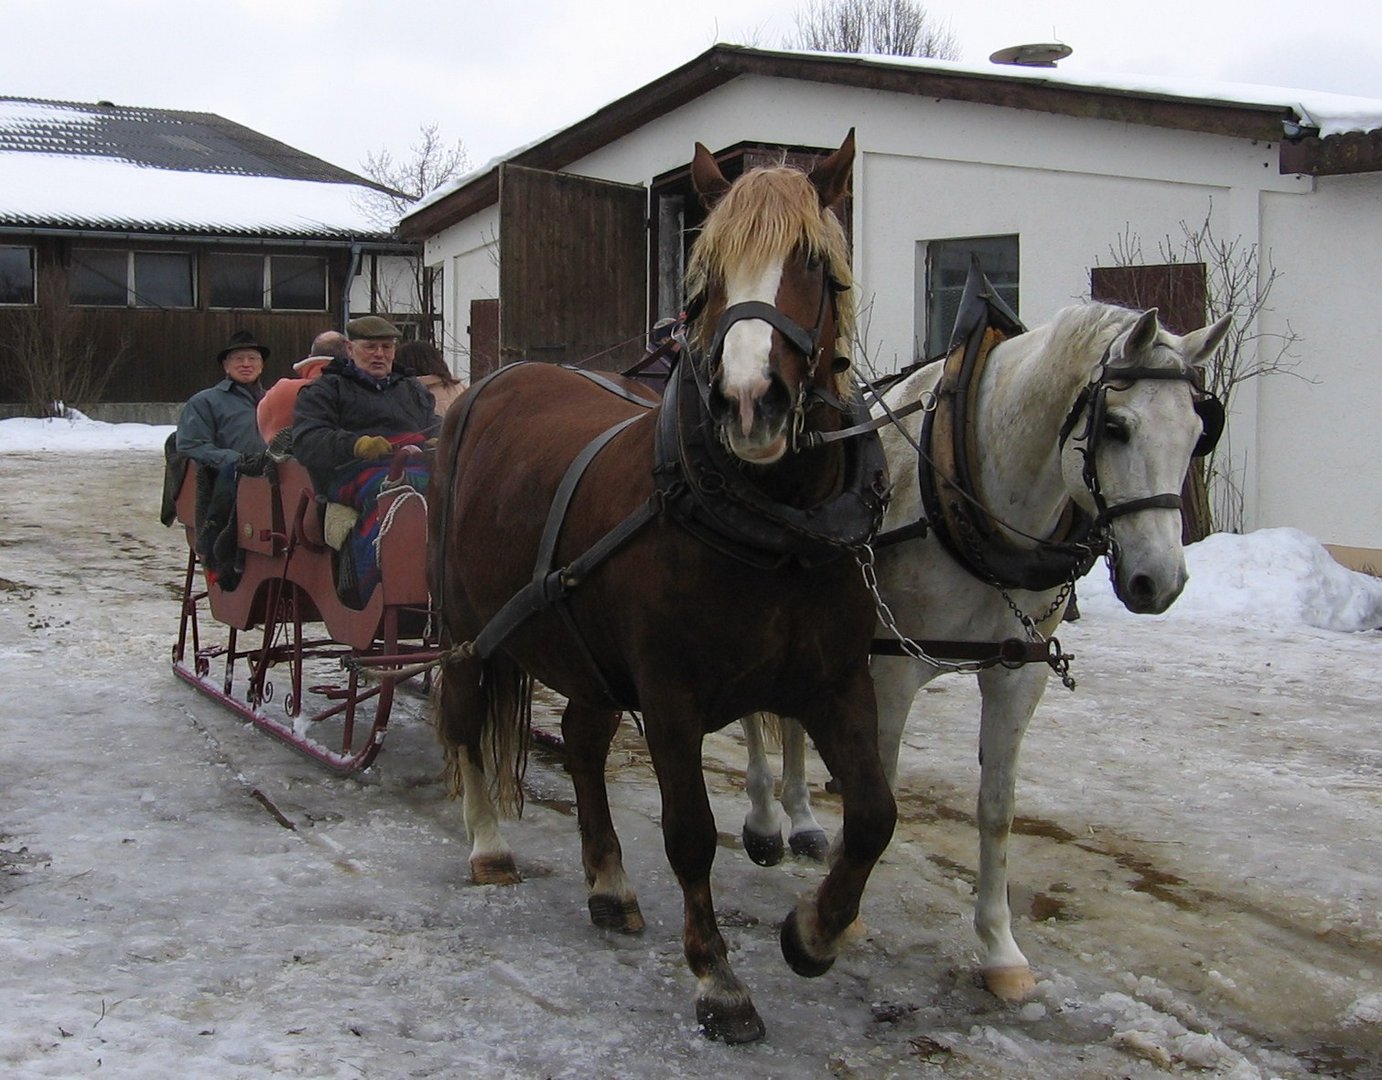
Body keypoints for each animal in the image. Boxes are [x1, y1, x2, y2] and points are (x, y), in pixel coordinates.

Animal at [428, 130, 895, 1039]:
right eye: (706, 276)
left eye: (813, 263)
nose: (749, 401)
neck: (775, 530)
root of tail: (488, 385)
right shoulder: (672, 693)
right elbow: (691, 833)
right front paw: (719, 978)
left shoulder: (836, 679)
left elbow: (872, 816)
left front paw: (813, 934)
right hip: (468, 622)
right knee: (464, 711)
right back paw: (490, 845)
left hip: (584, 649)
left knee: (580, 741)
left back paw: (609, 886)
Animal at [740, 290, 1238, 1001]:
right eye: (1116, 426)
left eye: (1200, 432)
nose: (1159, 581)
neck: (974, 493)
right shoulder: (892, 669)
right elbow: (878, 792)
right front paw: (842, 918)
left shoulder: (1018, 672)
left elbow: (997, 806)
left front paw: (1001, 949)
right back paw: (763, 820)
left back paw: (802, 820)